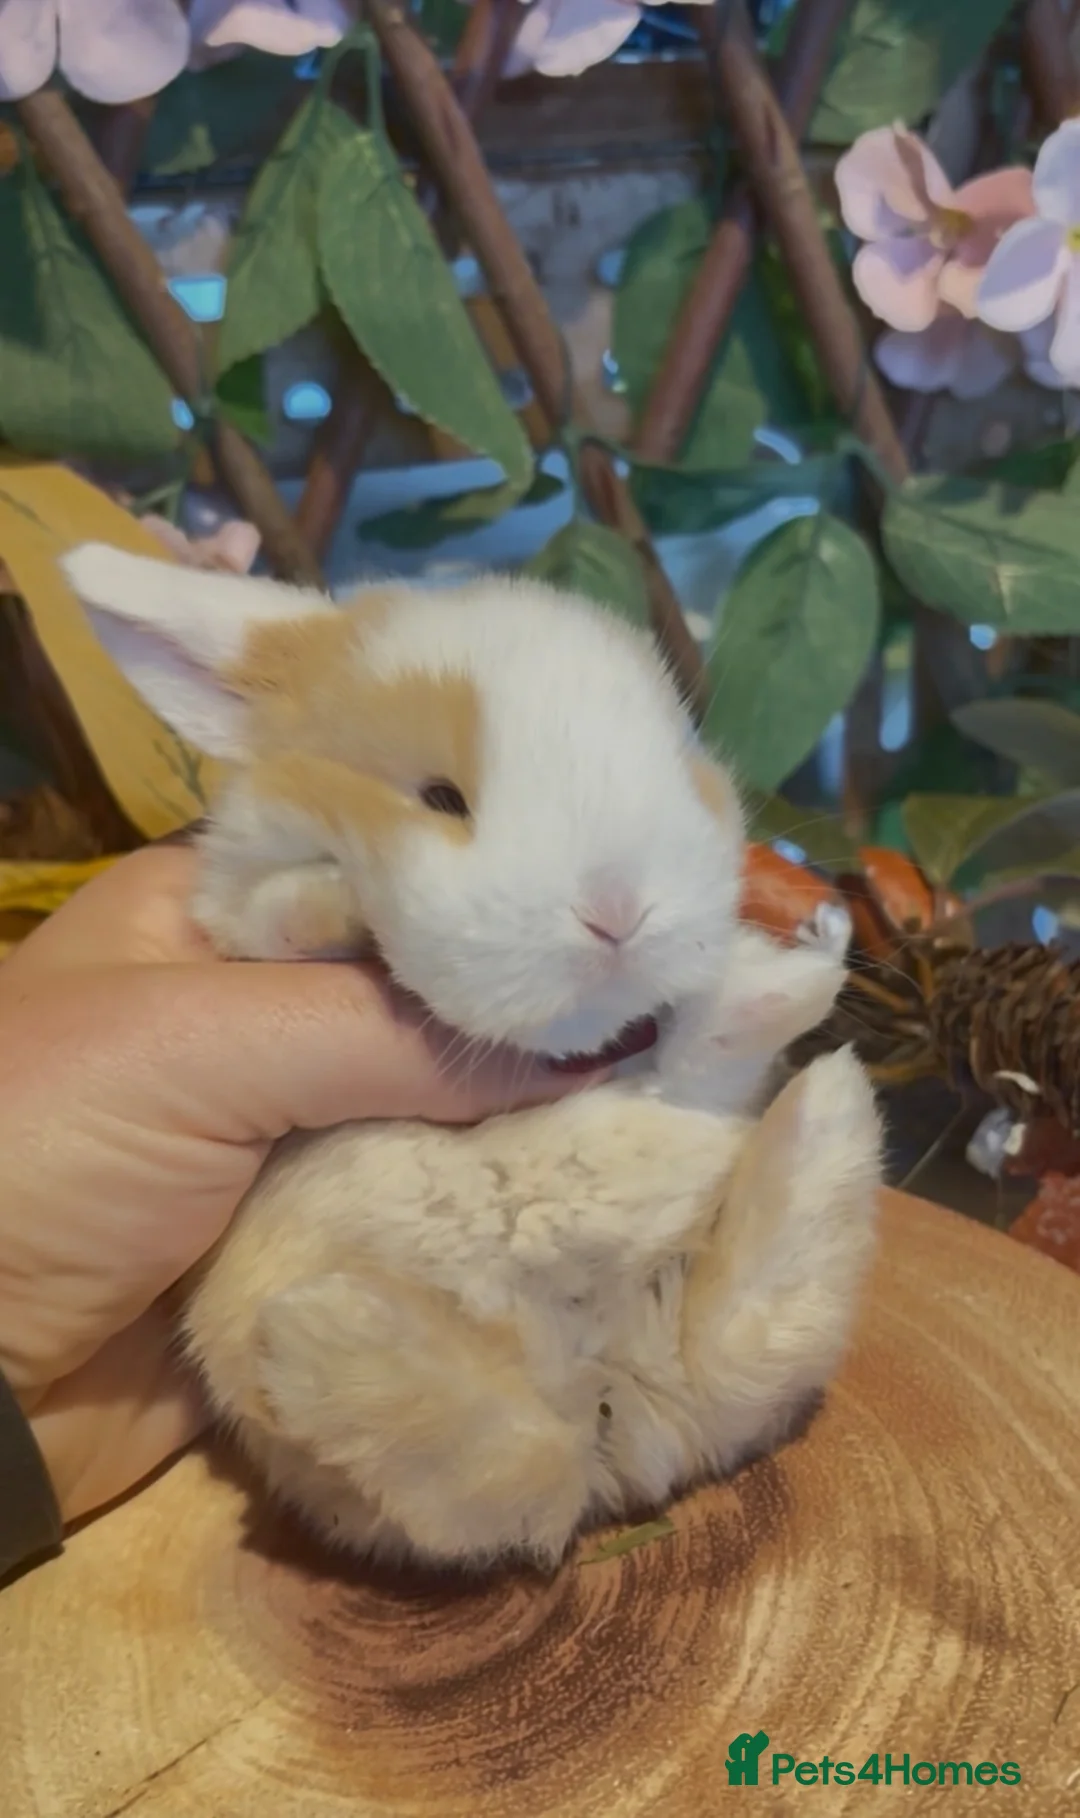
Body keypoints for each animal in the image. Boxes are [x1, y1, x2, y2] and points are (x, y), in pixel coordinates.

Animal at [61, 543, 881, 1570]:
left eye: (681, 767)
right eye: (439, 798)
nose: (619, 910)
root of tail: (622, 1419)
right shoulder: (238, 919)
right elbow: (274, 914)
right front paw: (336, 900)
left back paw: (811, 1055)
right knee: (491, 1475)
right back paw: (322, 1341)